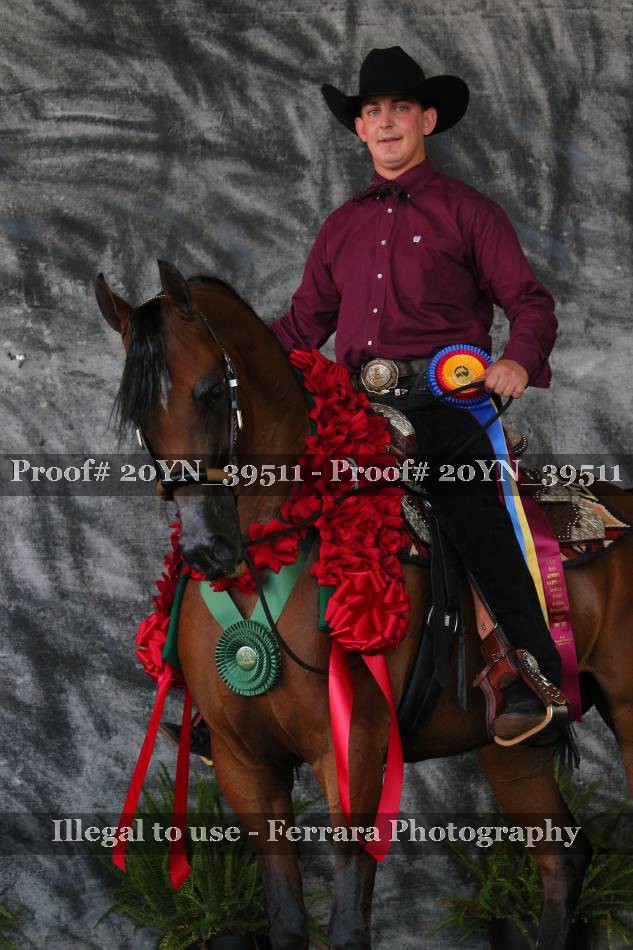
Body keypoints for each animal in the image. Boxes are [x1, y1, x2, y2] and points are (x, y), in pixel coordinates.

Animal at [95, 259, 633, 949]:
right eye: (138, 415)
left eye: (213, 391)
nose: (205, 547)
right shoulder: (246, 769)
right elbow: (286, 919)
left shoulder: (354, 754)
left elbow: (350, 921)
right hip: (510, 752)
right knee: (562, 857)